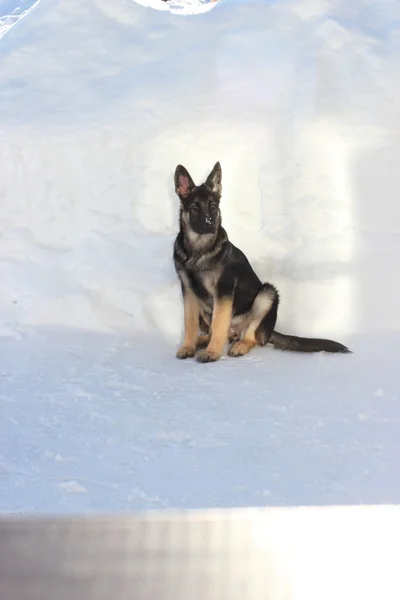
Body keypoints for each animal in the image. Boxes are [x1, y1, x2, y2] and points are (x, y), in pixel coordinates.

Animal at [172, 162, 350, 364]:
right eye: (194, 208)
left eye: (213, 207)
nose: (210, 225)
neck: (198, 250)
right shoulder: (188, 290)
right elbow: (190, 322)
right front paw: (188, 346)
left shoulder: (223, 290)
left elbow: (218, 322)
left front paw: (213, 352)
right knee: (222, 332)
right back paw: (203, 340)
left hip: (266, 295)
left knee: (251, 337)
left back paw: (239, 345)